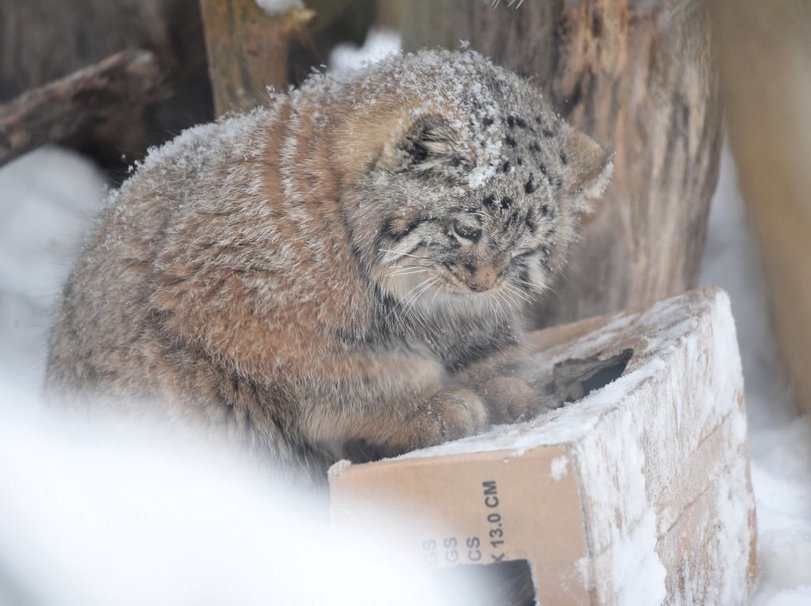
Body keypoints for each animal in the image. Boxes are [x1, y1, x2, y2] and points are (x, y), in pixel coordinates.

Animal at [44, 50, 612, 482]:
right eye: (466, 230)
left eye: (525, 250)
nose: (484, 284)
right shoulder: (229, 308)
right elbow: (340, 372)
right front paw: (425, 402)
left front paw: (502, 387)